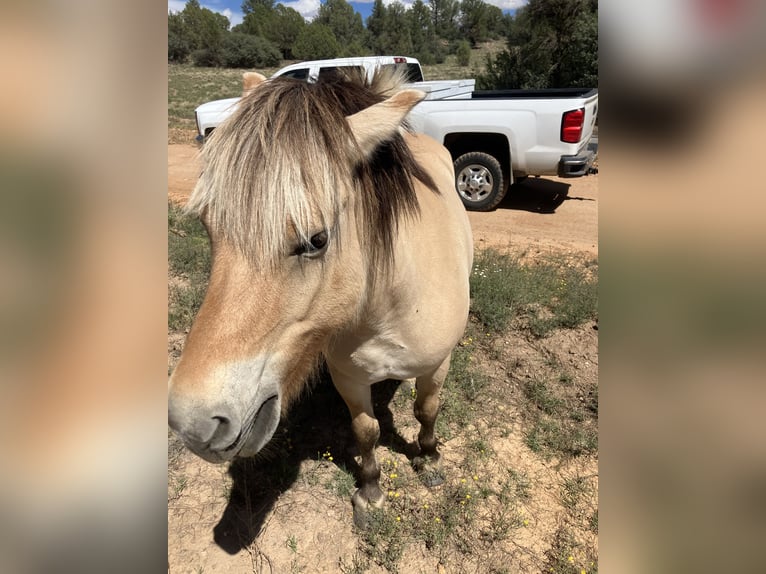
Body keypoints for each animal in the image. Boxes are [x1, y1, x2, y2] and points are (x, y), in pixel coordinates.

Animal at [168, 68, 473, 526]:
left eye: (317, 240)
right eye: (207, 225)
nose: (192, 423)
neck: (391, 306)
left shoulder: (439, 363)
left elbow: (427, 409)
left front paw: (430, 458)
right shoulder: (349, 377)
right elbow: (366, 431)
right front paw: (370, 492)